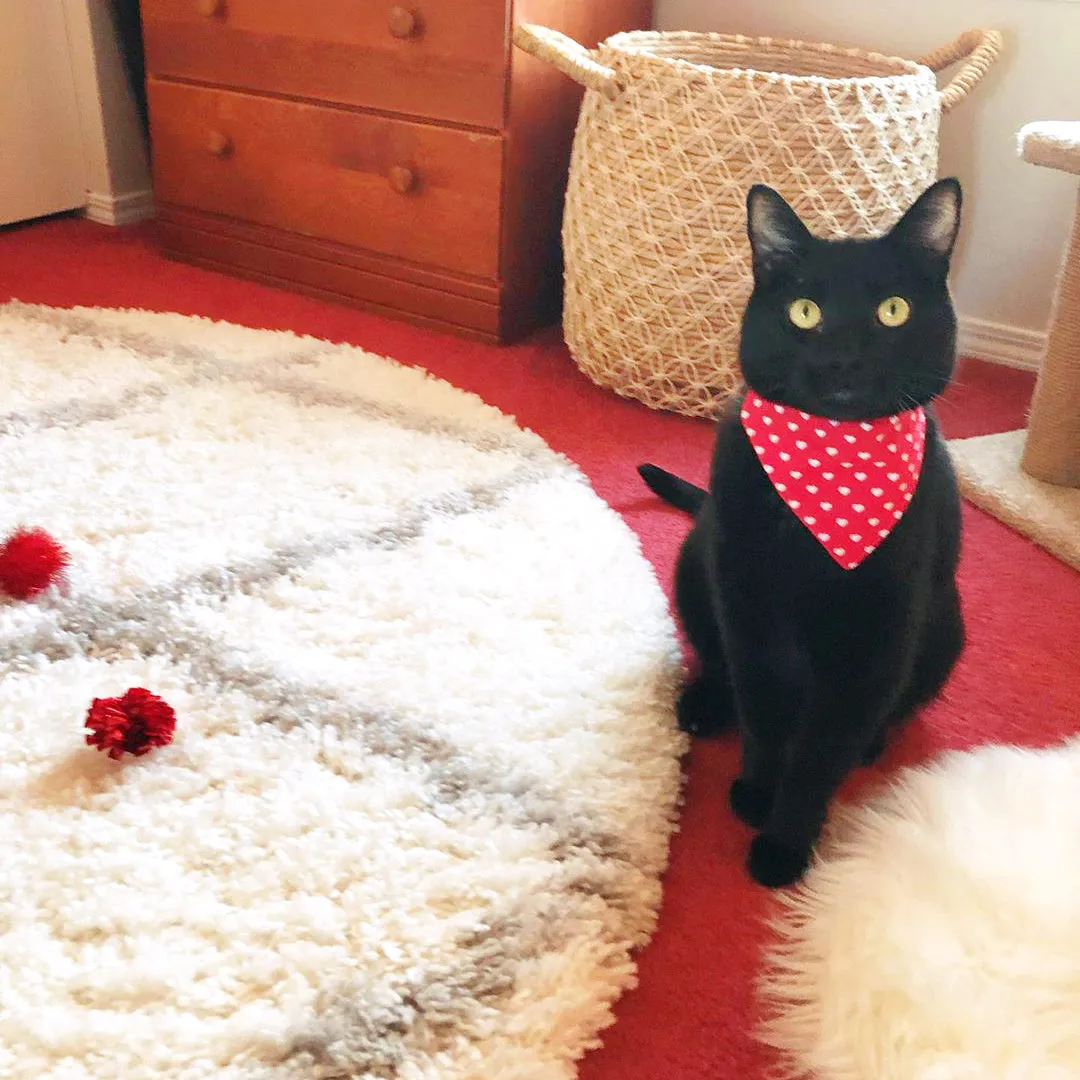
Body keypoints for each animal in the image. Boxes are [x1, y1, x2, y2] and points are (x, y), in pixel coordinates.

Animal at [639, 179, 963, 885]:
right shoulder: (750, 611)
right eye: (805, 312)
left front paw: (784, 844)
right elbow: (763, 713)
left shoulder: (874, 641)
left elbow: (821, 753)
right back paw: (704, 705)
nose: (844, 359)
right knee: (715, 661)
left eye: (893, 312)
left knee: (888, 712)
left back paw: (873, 743)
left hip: (946, 627)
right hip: (695, 561)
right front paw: (756, 794)